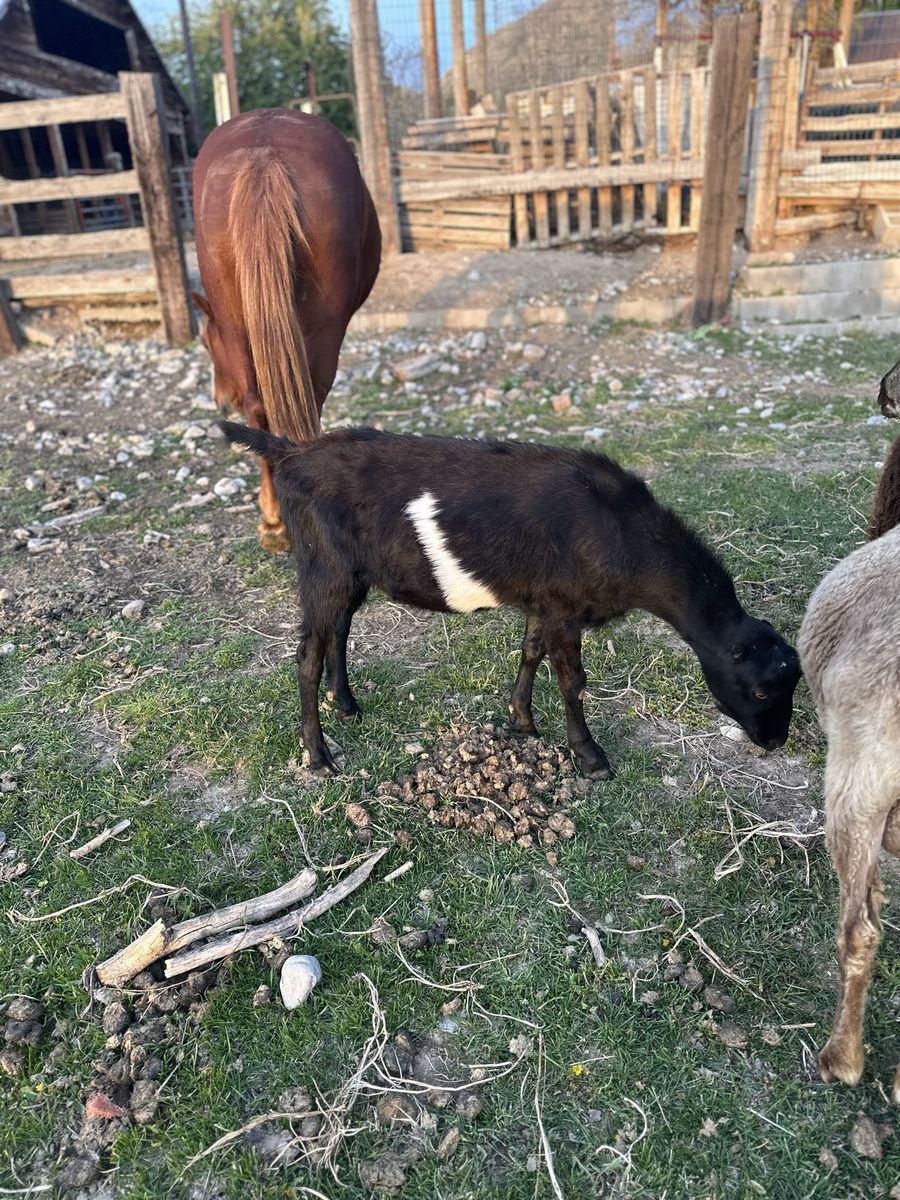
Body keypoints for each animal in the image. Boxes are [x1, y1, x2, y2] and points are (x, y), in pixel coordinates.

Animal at [221, 421, 801, 777]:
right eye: (761, 691)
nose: (776, 742)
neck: (620, 529)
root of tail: (290, 452)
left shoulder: (544, 604)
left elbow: (530, 651)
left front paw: (521, 720)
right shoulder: (565, 608)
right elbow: (572, 681)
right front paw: (590, 757)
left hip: (349, 574)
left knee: (337, 632)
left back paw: (347, 705)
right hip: (325, 568)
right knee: (307, 654)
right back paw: (319, 755)